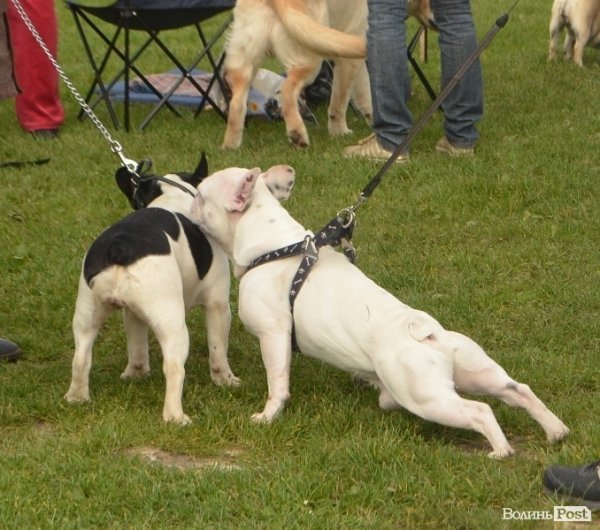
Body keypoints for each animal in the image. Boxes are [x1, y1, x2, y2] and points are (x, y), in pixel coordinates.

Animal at [189, 166, 570, 458]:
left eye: (200, 197)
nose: (189, 198)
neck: (275, 247)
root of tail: (429, 333)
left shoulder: (273, 337)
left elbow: (277, 383)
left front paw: (268, 417)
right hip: (473, 372)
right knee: (516, 390)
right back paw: (556, 430)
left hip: (426, 397)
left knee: (481, 411)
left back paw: (501, 450)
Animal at [222, 0, 435, 149]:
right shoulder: (349, 55)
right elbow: (339, 103)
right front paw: (339, 132)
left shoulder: (356, 60)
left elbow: (366, 94)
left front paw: (373, 121)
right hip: (310, 58)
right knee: (287, 91)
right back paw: (297, 134)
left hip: (245, 62)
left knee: (236, 104)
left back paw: (231, 145)